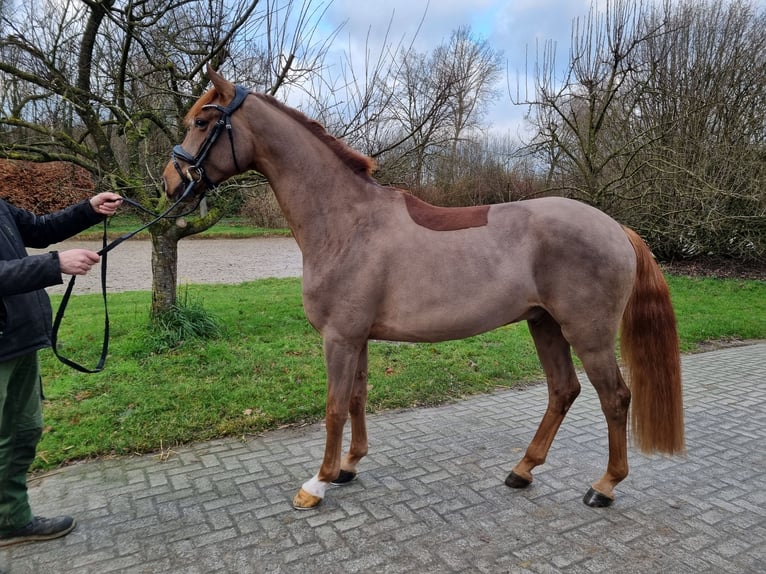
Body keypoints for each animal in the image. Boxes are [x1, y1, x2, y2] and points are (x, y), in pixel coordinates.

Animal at [162, 67, 684, 512]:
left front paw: (318, 483)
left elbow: (333, 407)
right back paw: (522, 470)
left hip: (587, 334)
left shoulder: (339, 338)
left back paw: (604, 486)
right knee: (563, 391)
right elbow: (357, 399)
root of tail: (616, 227)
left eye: (203, 121)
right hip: (545, 325)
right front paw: (349, 467)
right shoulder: (357, 337)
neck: (346, 222)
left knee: (614, 398)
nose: (169, 182)